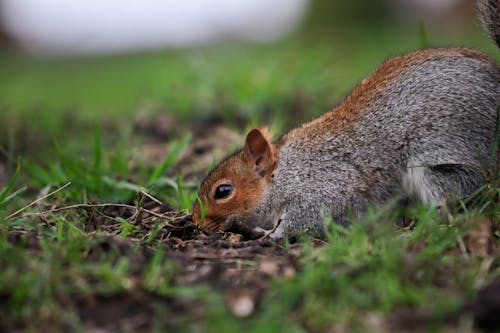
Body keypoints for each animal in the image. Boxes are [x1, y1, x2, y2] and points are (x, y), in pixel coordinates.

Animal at [190, 0, 496, 239]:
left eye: (223, 191)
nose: (195, 220)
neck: (284, 173)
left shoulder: (322, 187)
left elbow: (305, 218)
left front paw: (270, 234)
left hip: (443, 159)